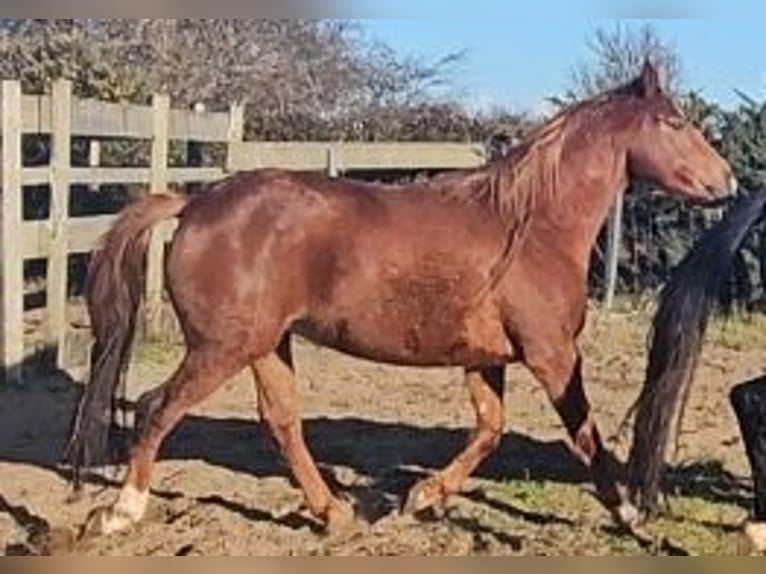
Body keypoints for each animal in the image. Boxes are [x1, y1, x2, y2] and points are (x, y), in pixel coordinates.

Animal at [65, 61, 736, 538]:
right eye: (675, 123)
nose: (728, 182)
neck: (531, 227)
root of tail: (194, 203)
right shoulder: (552, 355)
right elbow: (586, 434)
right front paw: (629, 513)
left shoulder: (485, 359)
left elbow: (490, 430)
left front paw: (420, 497)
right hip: (222, 347)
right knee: (156, 407)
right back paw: (122, 512)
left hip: (265, 344)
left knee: (280, 422)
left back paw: (334, 514)